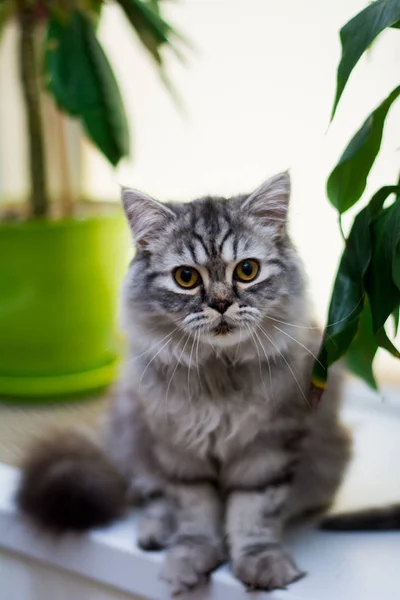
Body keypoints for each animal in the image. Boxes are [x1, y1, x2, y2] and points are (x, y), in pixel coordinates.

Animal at [15, 173, 354, 596]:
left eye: (246, 271)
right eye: (186, 278)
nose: (221, 304)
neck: (219, 373)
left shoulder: (268, 448)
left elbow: (253, 514)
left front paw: (260, 562)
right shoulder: (179, 451)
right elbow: (194, 511)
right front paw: (190, 558)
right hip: (132, 431)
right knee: (150, 494)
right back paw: (156, 533)